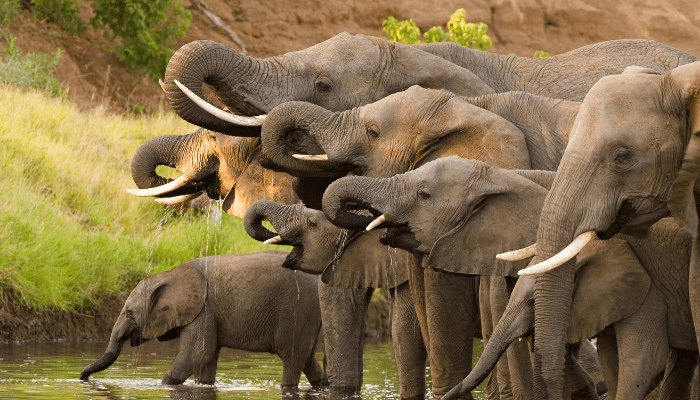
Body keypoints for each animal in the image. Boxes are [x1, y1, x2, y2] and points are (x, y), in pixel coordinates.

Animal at [79, 250, 326, 388]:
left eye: (129, 313)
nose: (82, 377)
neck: (169, 274)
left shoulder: (204, 309)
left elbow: (197, 353)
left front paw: (162, 385)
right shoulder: (207, 313)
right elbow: (206, 359)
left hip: (298, 311)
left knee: (292, 359)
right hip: (309, 316)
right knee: (308, 360)